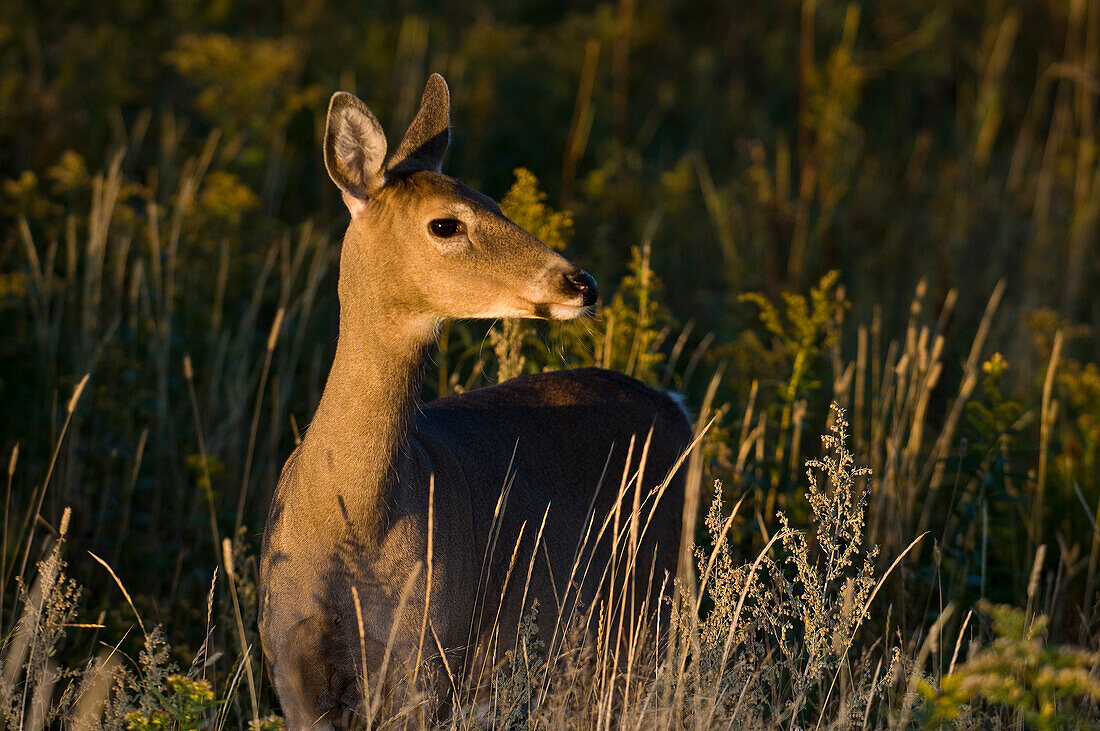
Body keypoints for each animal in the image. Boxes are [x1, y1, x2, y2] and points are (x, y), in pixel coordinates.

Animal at [256, 72, 686, 725]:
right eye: (446, 224)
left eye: (496, 202)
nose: (581, 283)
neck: (352, 528)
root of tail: (674, 404)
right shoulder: (292, 666)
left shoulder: (426, 655)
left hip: (645, 613)